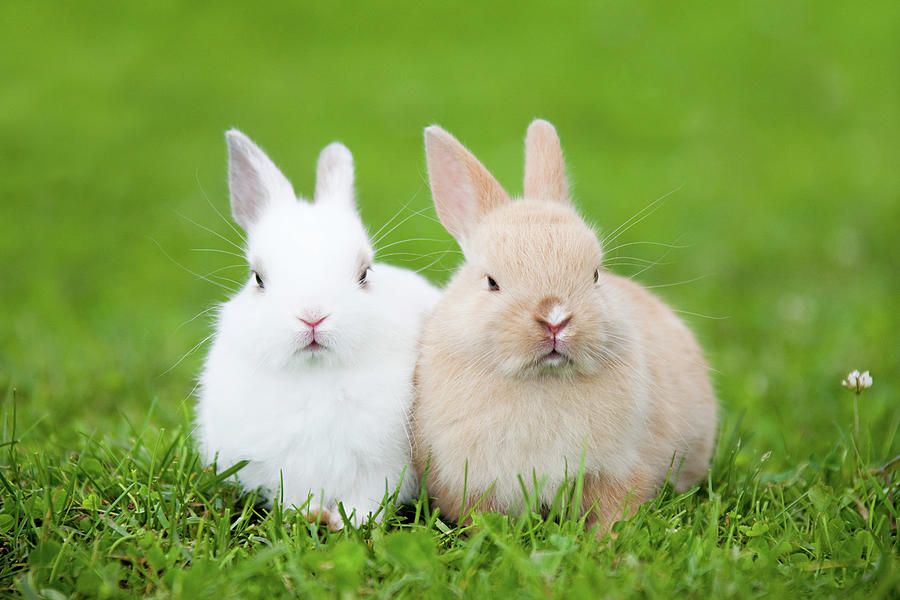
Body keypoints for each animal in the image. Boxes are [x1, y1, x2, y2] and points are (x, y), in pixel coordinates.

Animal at [195, 130, 441, 529]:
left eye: (364, 274)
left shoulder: (382, 467)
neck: (317, 375)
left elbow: (369, 500)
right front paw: (302, 515)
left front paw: (347, 522)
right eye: (257, 278)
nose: (313, 316)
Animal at [411, 119, 717, 532]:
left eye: (595, 275)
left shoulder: (620, 469)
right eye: (491, 282)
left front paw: (607, 541)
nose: (555, 318)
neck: (543, 381)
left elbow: (615, 509)